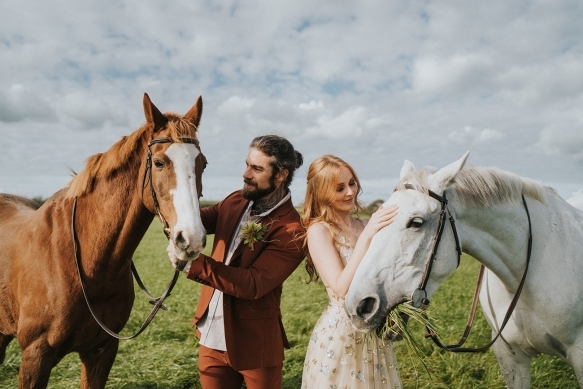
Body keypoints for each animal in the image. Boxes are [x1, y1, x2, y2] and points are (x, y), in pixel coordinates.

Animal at [0, 93, 209, 384]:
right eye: (159, 163)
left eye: (203, 163)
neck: (88, 262)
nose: (191, 239)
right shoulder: (35, 356)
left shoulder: (102, 351)